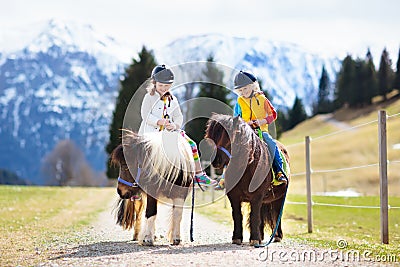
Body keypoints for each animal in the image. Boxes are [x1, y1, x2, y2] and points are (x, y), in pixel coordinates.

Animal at [205, 114, 290, 246]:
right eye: (211, 138)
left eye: (229, 138)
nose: (216, 160)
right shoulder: (234, 196)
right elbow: (238, 215)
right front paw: (237, 238)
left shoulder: (257, 195)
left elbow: (254, 215)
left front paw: (254, 239)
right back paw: (261, 236)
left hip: (279, 198)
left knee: (277, 213)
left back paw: (277, 236)